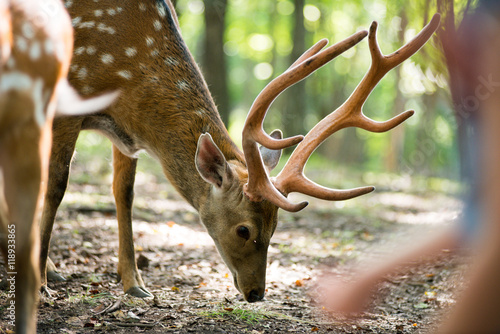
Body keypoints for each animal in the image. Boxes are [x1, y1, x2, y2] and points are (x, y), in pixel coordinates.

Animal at [39, 0, 440, 302]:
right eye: (244, 230)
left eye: (276, 228)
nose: (256, 294)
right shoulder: (68, 96)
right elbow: (57, 184)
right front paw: (40, 284)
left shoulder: (126, 136)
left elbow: (124, 193)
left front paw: (134, 283)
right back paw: (47, 273)